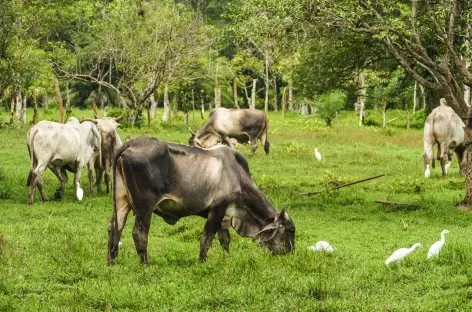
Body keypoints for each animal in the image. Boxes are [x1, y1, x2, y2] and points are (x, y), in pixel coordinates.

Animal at [108, 138, 296, 264]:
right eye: (290, 231)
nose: (291, 254)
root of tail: (132, 143)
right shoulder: (218, 208)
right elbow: (207, 238)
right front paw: (202, 262)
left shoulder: (224, 216)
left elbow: (224, 239)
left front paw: (227, 259)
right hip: (144, 207)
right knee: (139, 233)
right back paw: (145, 264)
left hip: (122, 201)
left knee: (113, 227)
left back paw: (111, 262)